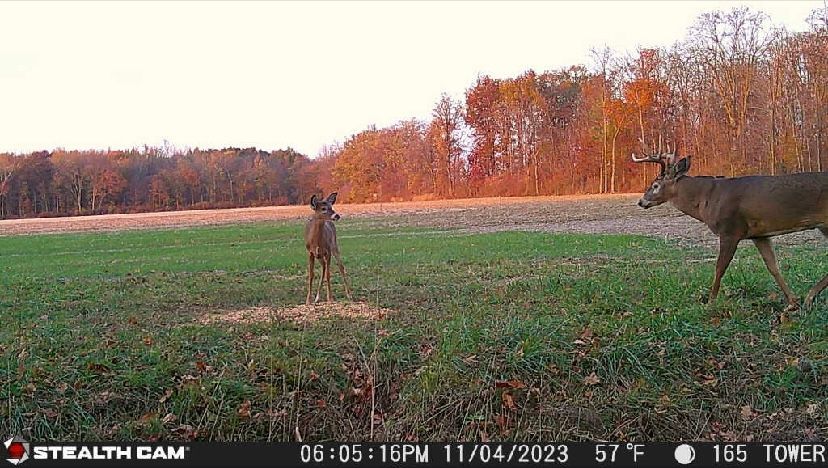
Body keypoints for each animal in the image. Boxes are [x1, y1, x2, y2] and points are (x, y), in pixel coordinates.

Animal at [632, 150, 828, 311]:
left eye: (655, 185)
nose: (641, 201)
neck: (706, 199)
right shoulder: (759, 234)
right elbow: (772, 266)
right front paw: (792, 302)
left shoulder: (730, 231)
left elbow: (720, 267)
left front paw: (710, 302)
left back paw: (810, 296)